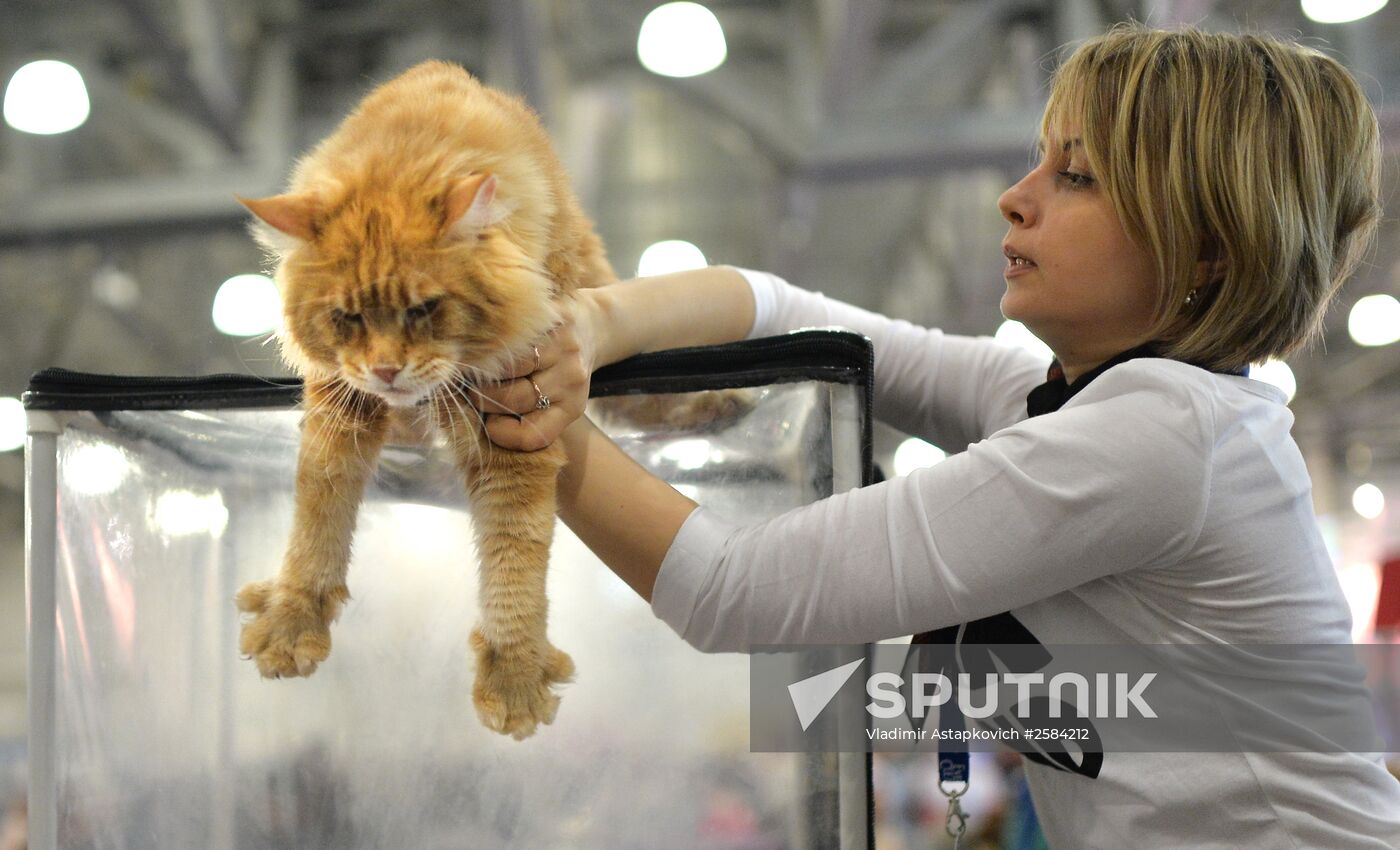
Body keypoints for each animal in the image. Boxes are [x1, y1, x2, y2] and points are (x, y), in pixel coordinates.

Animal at [232, 59, 610, 739]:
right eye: (348, 317)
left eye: (423, 309)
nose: (387, 370)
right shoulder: (340, 404)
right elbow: (318, 514)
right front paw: (291, 624)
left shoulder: (514, 424)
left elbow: (514, 559)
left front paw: (515, 680)